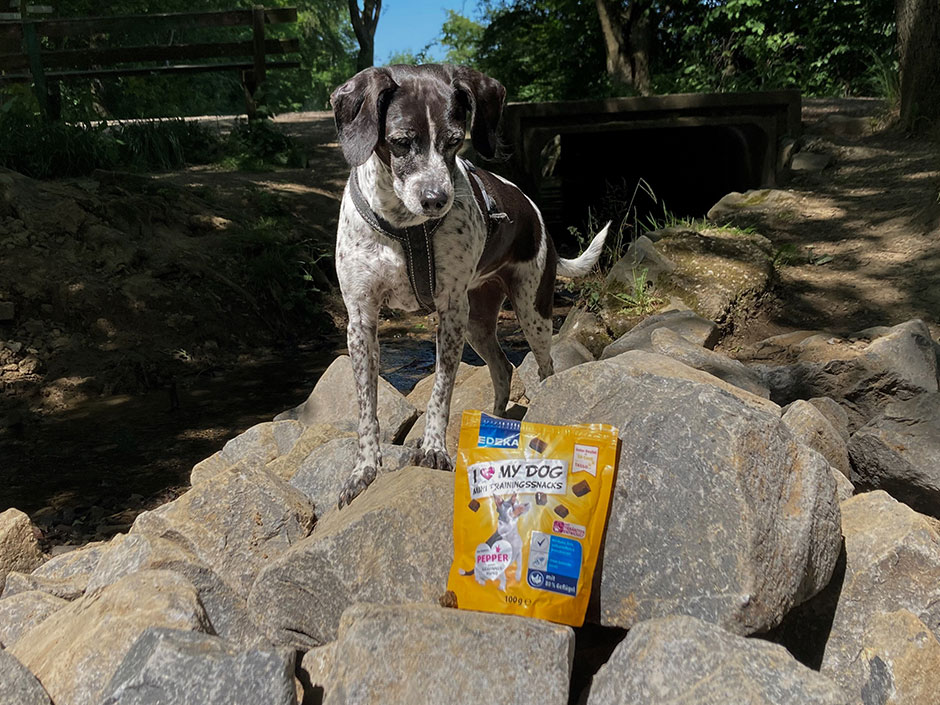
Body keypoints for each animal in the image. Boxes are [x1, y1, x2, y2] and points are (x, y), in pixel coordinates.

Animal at [332, 64, 608, 506]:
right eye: (401, 142)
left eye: (454, 141)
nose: (436, 199)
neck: (406, 228)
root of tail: (536, 214)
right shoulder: (361, 320)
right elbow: (366, 409)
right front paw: (364, 471)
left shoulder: (449, 312)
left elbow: (440, 392)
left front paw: (434, 449)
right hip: (478, 325)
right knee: (504, 367)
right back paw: (494, 422)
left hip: (530, 313)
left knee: (544, 367)